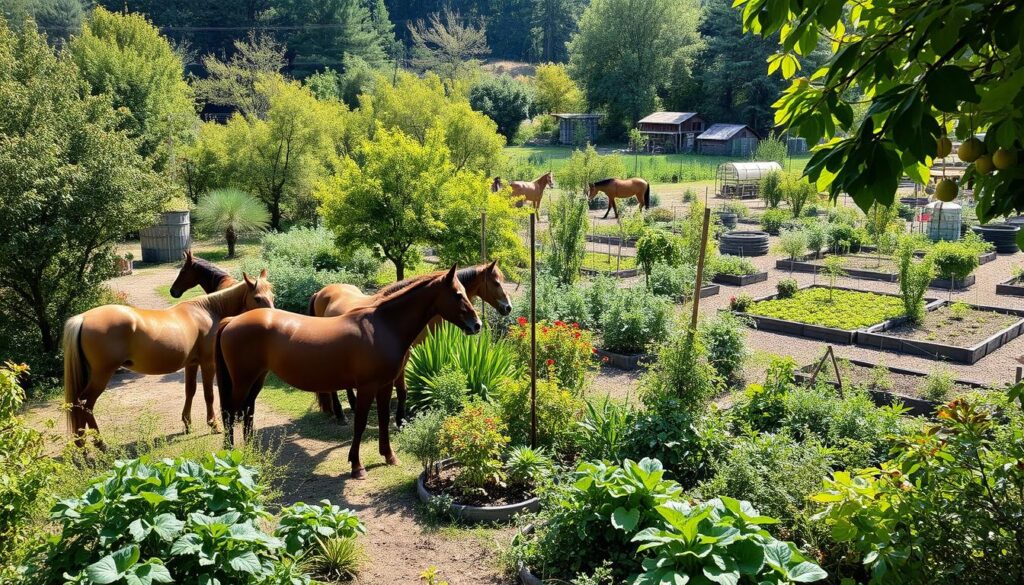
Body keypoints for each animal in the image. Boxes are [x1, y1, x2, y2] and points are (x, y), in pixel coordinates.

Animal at [62, 272, 274, 442]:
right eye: (257, 298)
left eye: (272, 295)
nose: (271, 317)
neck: (208, 311)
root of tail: (83, 318)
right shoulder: (207, 363)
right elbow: (208, 395)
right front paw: (213, 425)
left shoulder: (191, 364)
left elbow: (190, 391)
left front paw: (187, 424)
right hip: (101, 375)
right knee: (85, 405)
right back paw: (100, 444)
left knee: (77, 405)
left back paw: (82, 445)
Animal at [216, 266, 479, 481]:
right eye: (458, 294)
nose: (476, 325)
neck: (383, 326)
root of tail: (231, 320)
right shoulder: (367, 387)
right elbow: (360, 423)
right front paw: (357, 466)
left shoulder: (385, 385)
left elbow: (383, 418)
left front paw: (389, 456)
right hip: (243, 380)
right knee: (231, 412)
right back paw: (230, 455)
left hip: (257, 378)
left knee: (247, 410)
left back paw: (250, 451)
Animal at [303, 264, 512, 426]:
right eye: (496, 282)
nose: (508, 307)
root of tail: (320, 293)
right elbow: (403, 389)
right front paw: (400, 419)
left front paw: (401, 418)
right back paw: (340, 415)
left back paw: (353, 406)